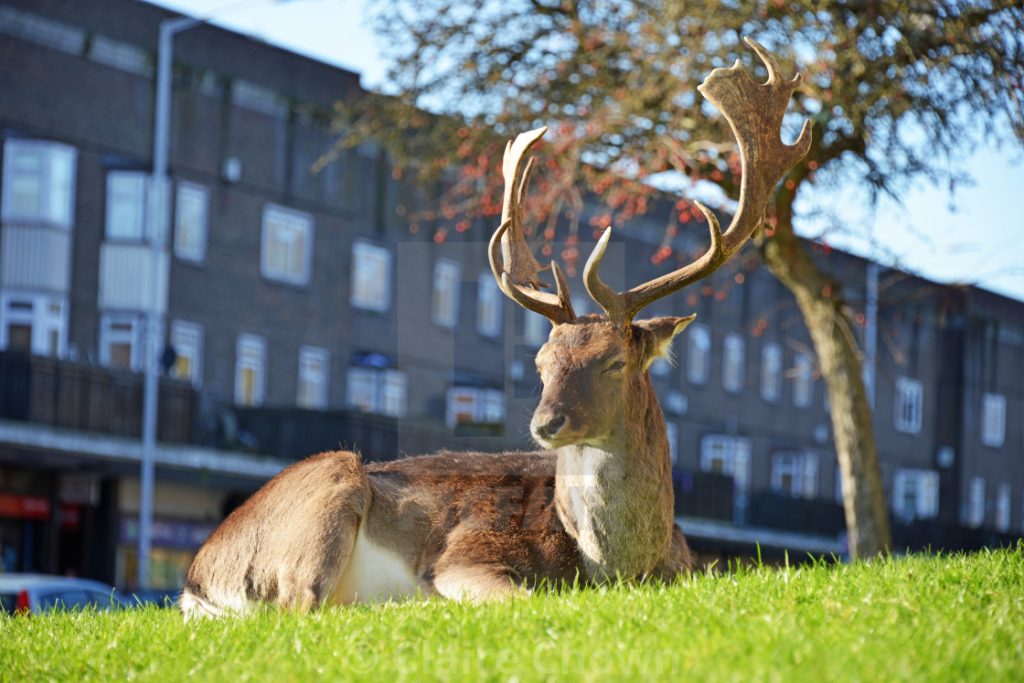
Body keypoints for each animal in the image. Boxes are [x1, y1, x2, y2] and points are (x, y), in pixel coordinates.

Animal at [182, 41, 806, 618]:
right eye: (541, 362)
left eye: (614, 360)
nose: (546, 422)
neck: (617, 566)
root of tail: (197, 581)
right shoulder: (465, 554)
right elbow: (523, 595)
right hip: (329, 487)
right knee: (302, 605)